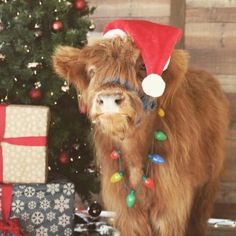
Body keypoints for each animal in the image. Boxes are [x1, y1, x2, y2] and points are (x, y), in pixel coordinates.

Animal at [53, 32, 229, 235]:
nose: (109, 98)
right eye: (92, 70)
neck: (134, 155)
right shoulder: (127, 211)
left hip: (208, 184)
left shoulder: (170, 209)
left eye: (142, 66)